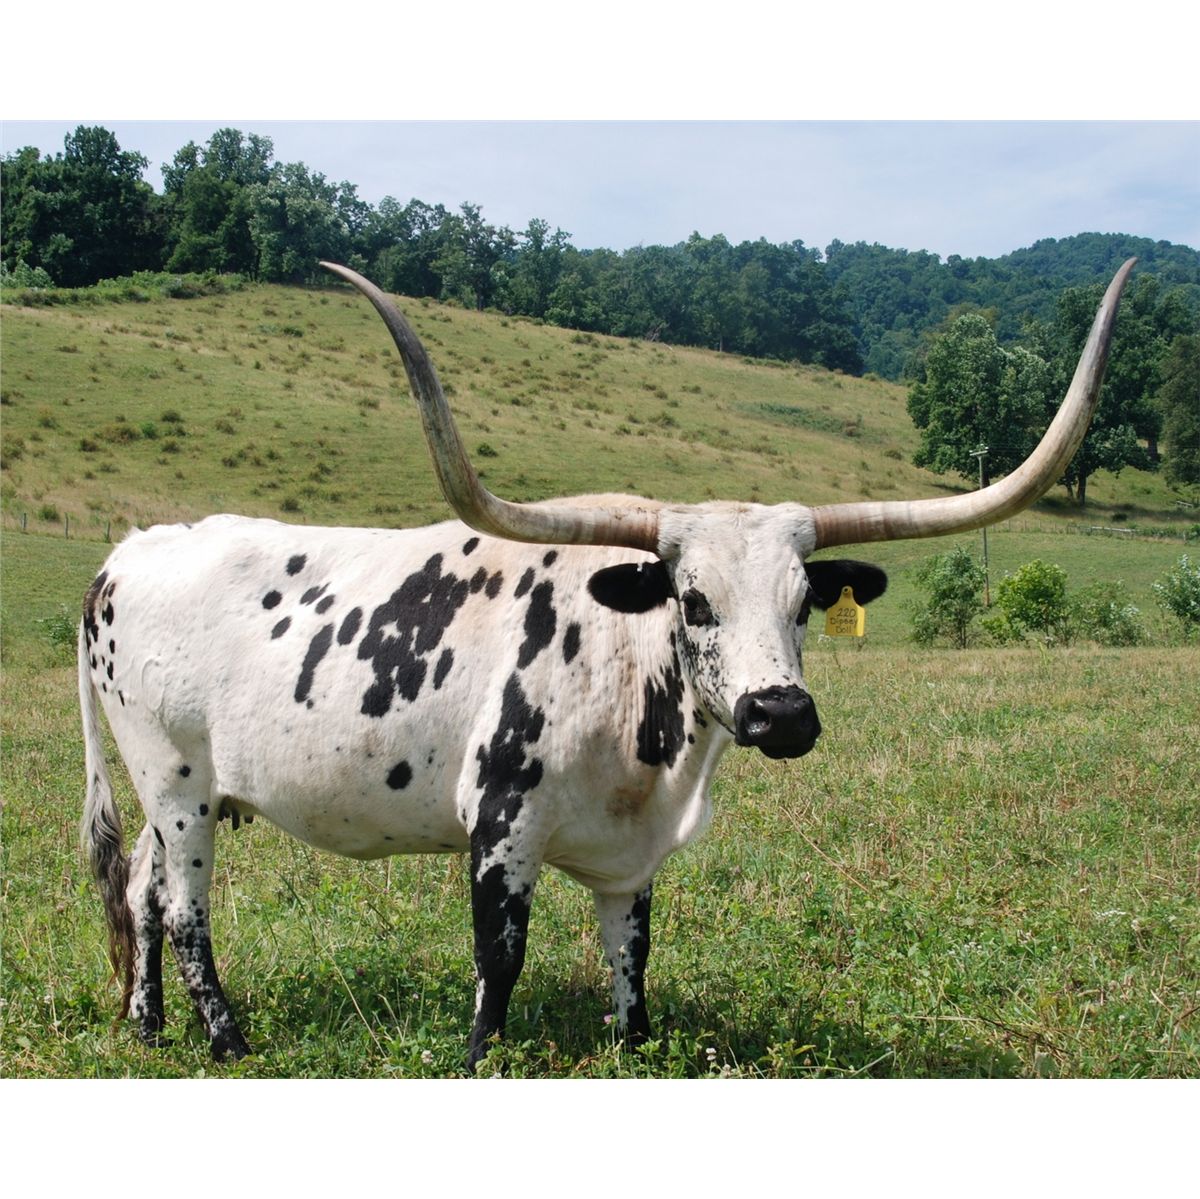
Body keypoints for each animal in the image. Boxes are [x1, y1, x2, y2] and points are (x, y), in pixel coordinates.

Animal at [80, 258, 1135, 1071]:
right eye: (692, 599)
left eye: (804, 603)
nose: (782, 713)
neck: (644, 731)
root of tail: (123, 555)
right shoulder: (500, 827)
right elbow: (498, 958)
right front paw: (480, 1059)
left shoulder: (634, 861)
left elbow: (633, 963)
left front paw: (634, 1045)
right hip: (175, 781)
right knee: (185, 910)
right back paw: (225, 1039)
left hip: (192, 793)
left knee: (140, 888)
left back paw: (148, 1028)